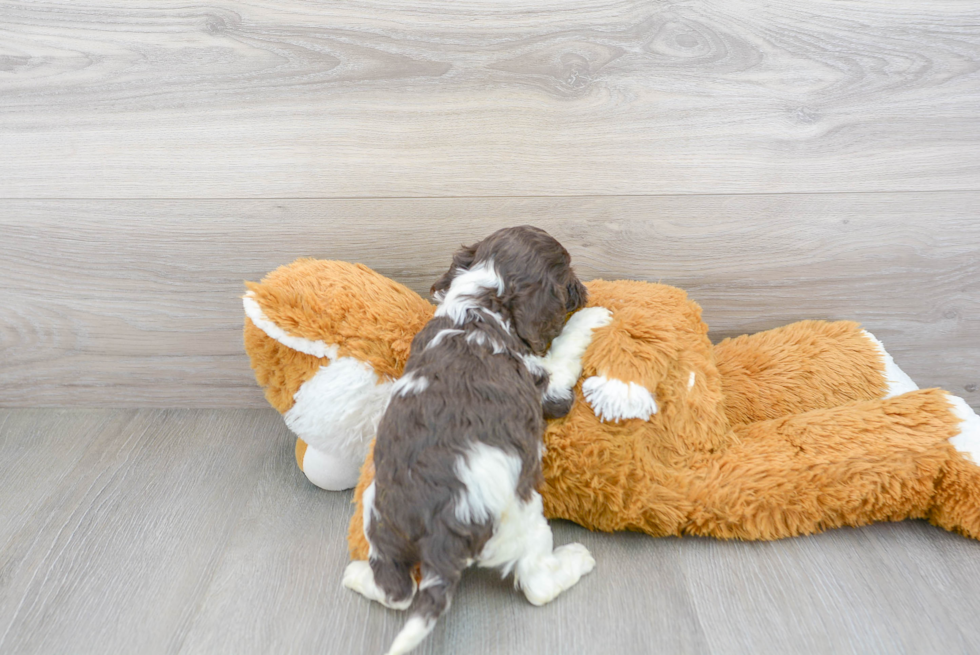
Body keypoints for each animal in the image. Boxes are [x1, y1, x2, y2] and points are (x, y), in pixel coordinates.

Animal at [344, 227, 604, 655]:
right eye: (568, 275)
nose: (584, 292)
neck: (479, 304)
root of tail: (442, 532)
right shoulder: (547, 384)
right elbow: (567, 346)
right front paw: (593, 315)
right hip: (523, 518)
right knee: (536, 584)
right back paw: (576, 559)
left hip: (381, 519)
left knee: (396, 590)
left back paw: (356, 575)